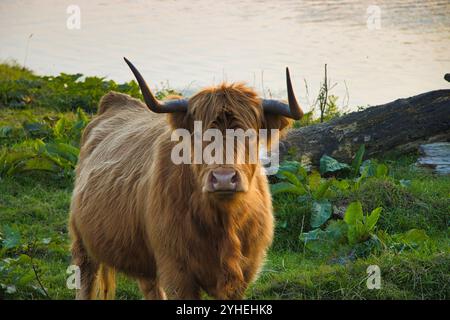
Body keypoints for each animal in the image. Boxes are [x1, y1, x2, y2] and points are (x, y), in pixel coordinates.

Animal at [69, 58, 302, 300]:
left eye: (250, 135)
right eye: (198, 135)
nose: (224, 178)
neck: (224, 223)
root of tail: (115, 100)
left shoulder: (242, 275)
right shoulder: (177, 271)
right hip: (81, 240)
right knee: (86, 278)